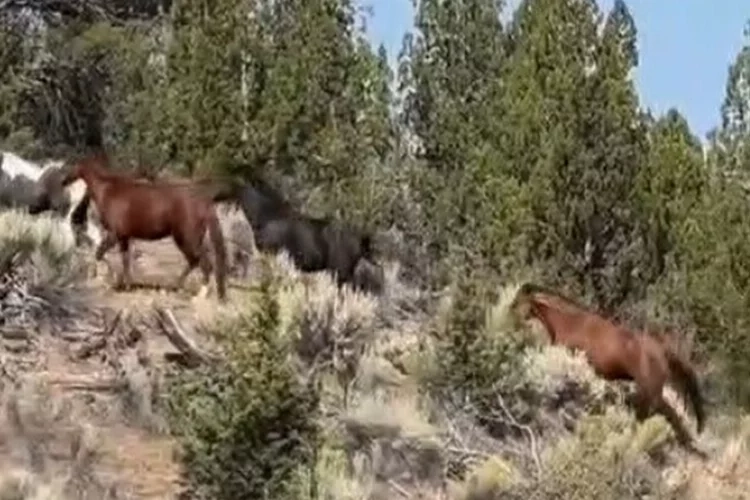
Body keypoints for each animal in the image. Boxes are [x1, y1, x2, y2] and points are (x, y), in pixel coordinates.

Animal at [61, 152, 228, 300]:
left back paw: (199, 295)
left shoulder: (114, 235)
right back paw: (175, 286)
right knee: (194, 262)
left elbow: (99, 254)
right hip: (187, 240)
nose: (63, 180)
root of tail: (204, 203)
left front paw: (108, 278)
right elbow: (125, 260)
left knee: (204, 263)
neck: (108, 191)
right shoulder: (123, 237)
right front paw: (127, 285)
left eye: (72, 164)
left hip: (187, 239)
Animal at [508, 284, 708, 456]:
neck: (570, 322)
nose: (509, 315)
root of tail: (661, 349)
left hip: (650, 391)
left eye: (518, 301)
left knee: (662, 415)